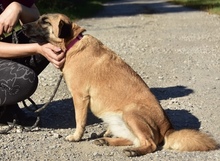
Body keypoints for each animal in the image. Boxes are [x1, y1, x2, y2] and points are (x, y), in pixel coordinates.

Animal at [22, 13, 218, 157]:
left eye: (45, 21)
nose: (22, 27)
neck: (72, 42)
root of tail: (168, 128)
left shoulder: (80, 97)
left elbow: (80, 121)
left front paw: (76, 137)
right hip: (119, 121)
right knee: (134, 139)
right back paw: (107, 140)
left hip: (131, 113)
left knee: (149, 143)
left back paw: (133, 151)